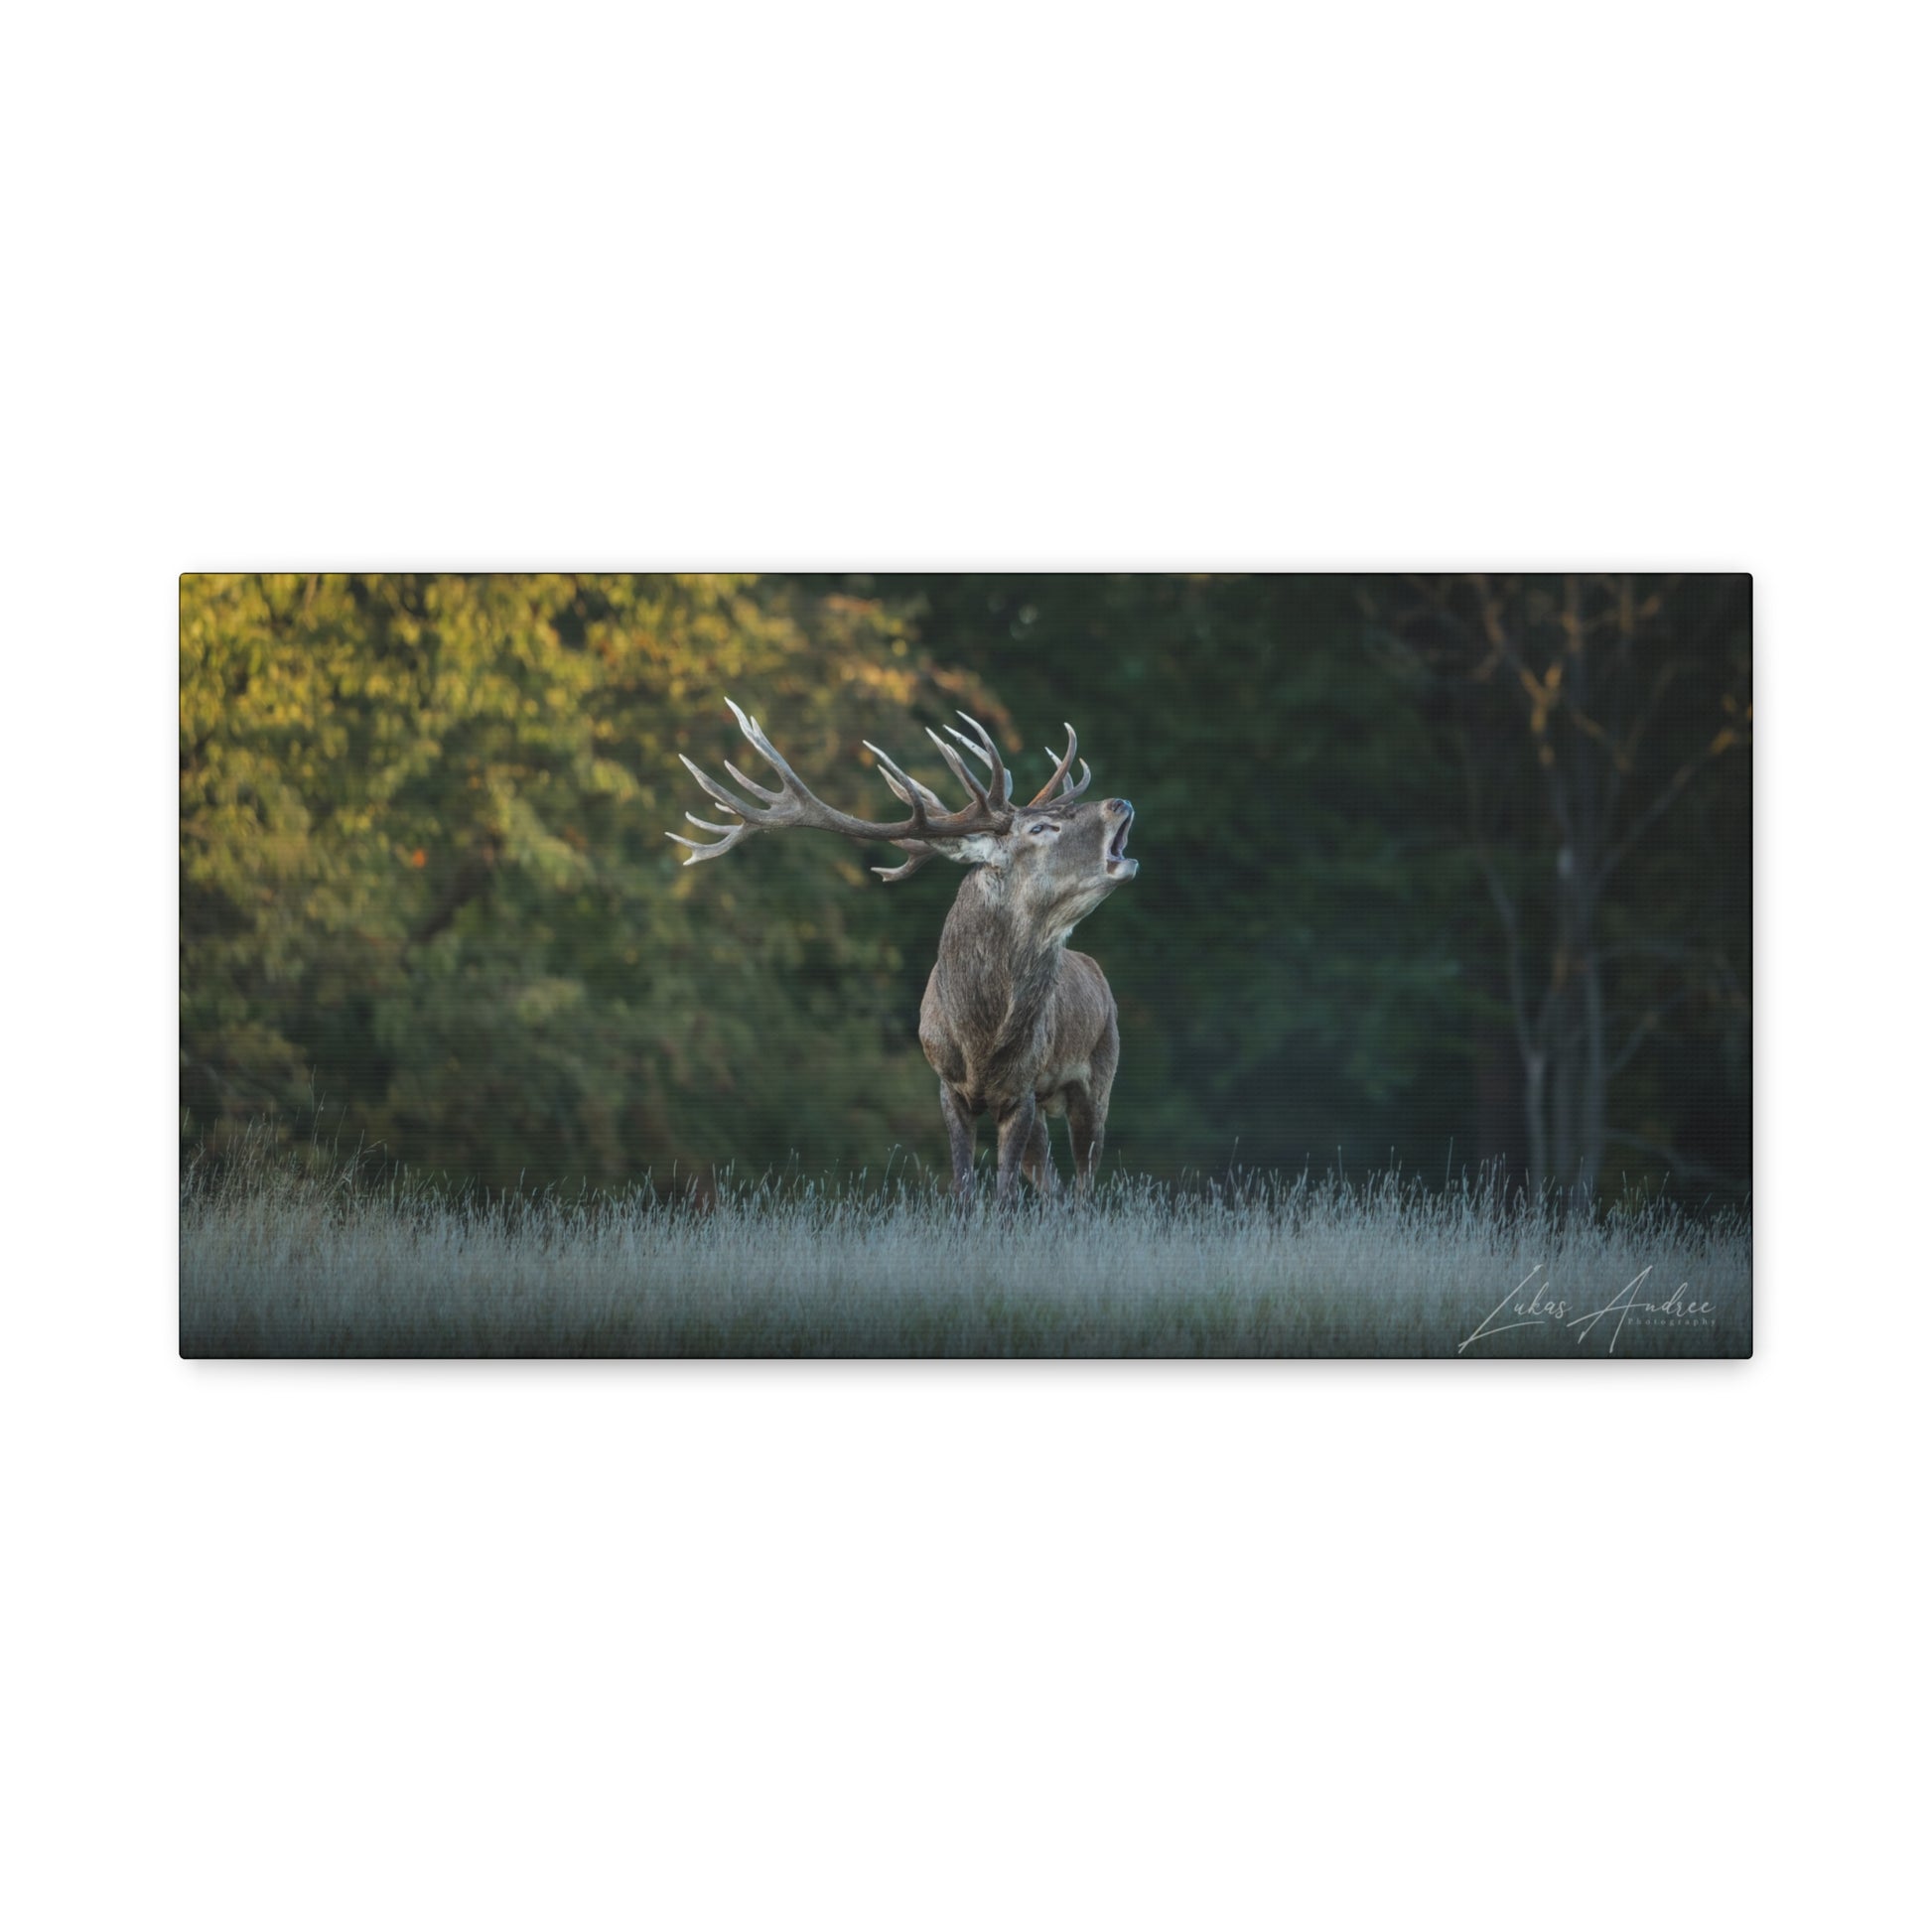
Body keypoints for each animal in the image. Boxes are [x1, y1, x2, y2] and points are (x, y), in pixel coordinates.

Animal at [669, 699, 1138, 1203]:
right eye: (1039, 826)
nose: (1120, 802)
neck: (982, 1037)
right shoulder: (949, 1086)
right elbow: (965, 1189)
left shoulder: (1023, 1088)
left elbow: (1005, 1195)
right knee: (1055, 1185)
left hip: (1100, 1075)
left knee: (1082, 1186)